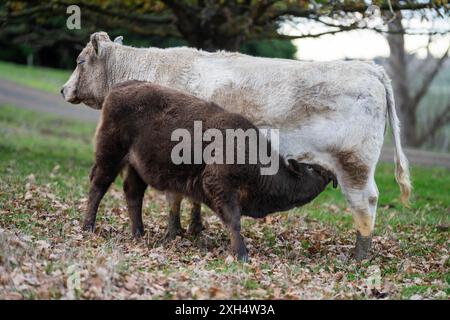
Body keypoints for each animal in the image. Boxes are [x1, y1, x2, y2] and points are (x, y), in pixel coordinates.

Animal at [60, 31, 412, 258]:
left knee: (366, 202)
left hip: (354, 166)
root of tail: (370, 68)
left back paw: (358, 255)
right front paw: (194, 227)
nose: (63, 90)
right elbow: (190, 198)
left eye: (79, 61)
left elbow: (174, 197)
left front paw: (174, 231)